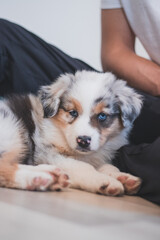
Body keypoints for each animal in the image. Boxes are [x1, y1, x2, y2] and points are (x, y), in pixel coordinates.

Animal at [0, 70, 142, 196]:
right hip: (14, 133)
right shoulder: (46, 152)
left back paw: (52, 174)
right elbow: (82, 166)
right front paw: (103, 180)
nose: (83, 140)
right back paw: (39, 178)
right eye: (73, 112)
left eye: (102, 116)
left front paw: (123, 177)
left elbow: (106, 166)